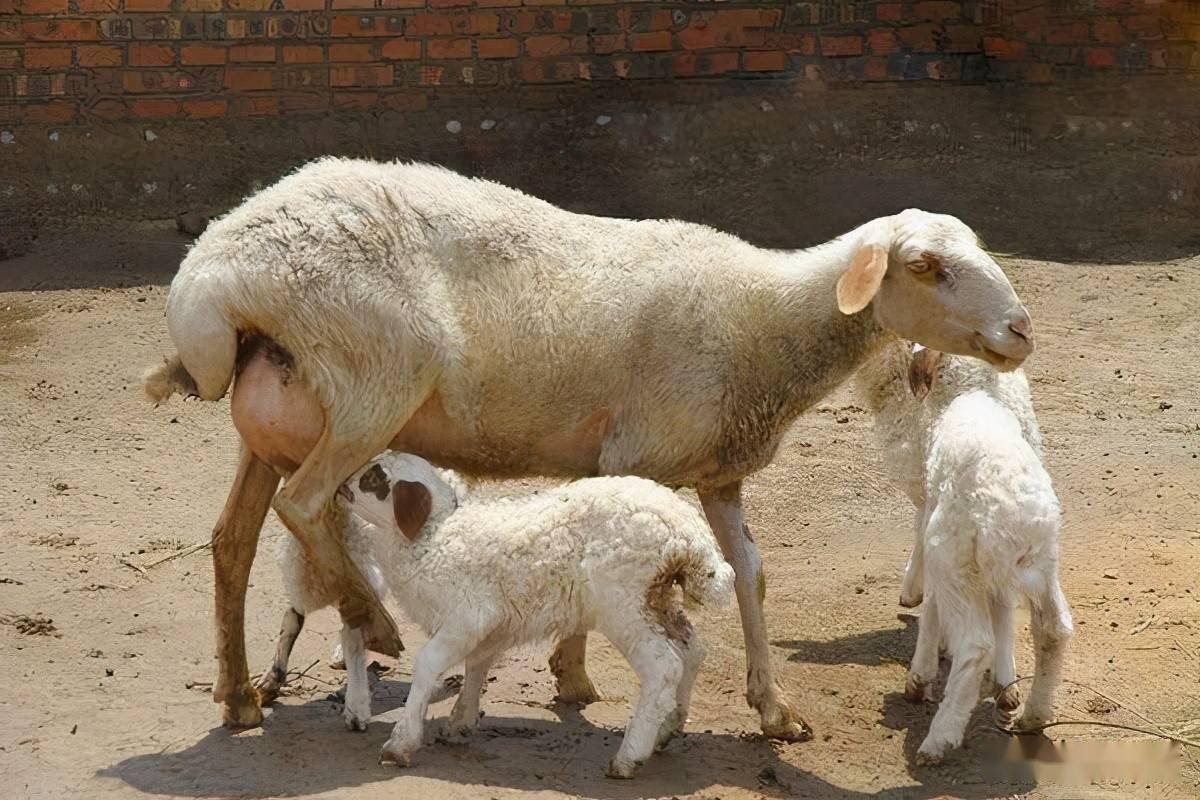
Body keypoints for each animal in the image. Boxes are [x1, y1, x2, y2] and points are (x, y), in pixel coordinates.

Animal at [145, 155, 1036, 738]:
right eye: (925, 266)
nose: (1021, 330)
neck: (763, 321)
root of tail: (211, 276)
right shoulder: (634, 458)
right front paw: (572, 674)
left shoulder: (717, 472)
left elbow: (751, 574)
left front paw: (773, 708)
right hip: (372, 379)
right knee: (304, 505)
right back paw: (374, 622)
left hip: (279, 416)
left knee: (232, 540)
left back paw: (237, 695)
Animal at [266, 453, 729, 777]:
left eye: (375, 479)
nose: (341, 484)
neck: (433, 537)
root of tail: (688, 537)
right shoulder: (491, 623)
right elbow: (477, 664)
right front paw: (460, 723)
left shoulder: (467, 615)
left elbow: (427, 665)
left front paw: (402, 742)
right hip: (658, 599)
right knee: (692, 651)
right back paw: (667, 729)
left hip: (623, 601)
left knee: (663, 664)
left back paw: (630, 756)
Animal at [859, 343, 1075, 762]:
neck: (969, 391)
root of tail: (1016, 517)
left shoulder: (936, 522)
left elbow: (932, 604)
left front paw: (920, 674)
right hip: (1042, 565)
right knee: (1054, 629)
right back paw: (1034, 715)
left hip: (955, 555)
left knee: (976, 643)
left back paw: (939, 737)